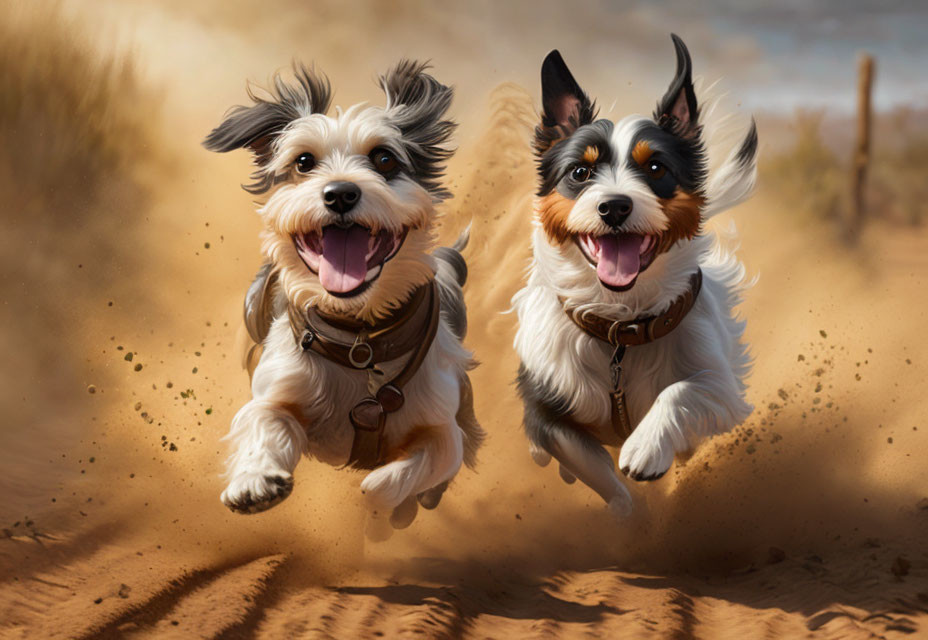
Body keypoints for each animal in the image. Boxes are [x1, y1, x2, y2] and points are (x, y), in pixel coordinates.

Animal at [205, 60, 486, 532]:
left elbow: (406, 472)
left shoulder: (443, 425)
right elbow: (263, 419)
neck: (360, 342)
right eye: (303, 161)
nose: (340, 193)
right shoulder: (277, 387)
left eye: (384, 158)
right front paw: (255, 480)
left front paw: (378, 504)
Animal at [512, 35, 756, 516]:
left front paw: (645, 449)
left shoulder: (721, 390)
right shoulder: (546, 408)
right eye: (580, 172)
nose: (614, 206)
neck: (619, 325)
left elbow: (680, 392)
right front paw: (631, 513)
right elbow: (596, 469)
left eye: (656, 168)